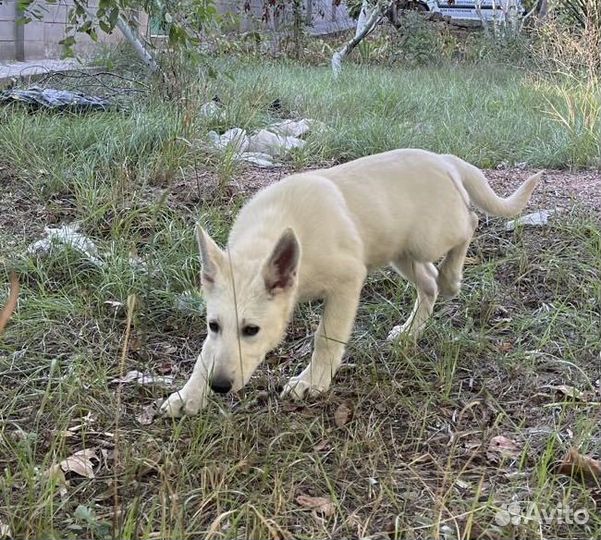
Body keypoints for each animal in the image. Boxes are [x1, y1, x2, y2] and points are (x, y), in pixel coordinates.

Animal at [162, 149, 540, 418]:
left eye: (251, 330)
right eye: (213, 325)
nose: (220, 386)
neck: (272, 233)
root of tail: (445, 159)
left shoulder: (347, 281)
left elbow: (326, 337)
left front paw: (311, 382)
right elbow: (205, 354)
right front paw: (188, 396)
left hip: (428, 240)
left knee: (470, 224)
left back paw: (452, 277)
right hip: (400, 252)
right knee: (429, 283)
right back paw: (410, 331)